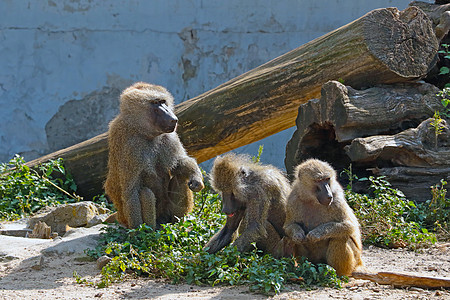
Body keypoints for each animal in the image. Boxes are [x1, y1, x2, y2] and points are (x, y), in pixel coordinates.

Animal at [103, 81, 204, 229]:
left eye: (163, 102)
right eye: (155, 103)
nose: (173, 119)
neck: (142, 131)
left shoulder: (169, 136)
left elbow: (179, 162)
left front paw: (196, 179)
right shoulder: (131, 146)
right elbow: (131, 191)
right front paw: (138, 231)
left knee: (180, 175)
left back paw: (178, 223)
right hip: (127, 217)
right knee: (144, 193)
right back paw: (150, 229)